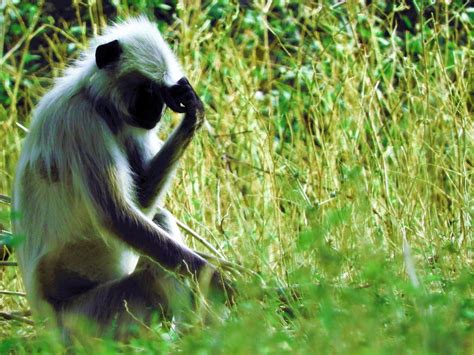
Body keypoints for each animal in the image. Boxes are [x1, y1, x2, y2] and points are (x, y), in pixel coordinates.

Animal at [12, 16, 231, 338]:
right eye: (148, 92)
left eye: (164, 95)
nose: (157, 112)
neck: (96, 102)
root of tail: (46, 326)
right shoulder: (82, 121)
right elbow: (117, 218)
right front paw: (223, 282)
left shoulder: (128, 126)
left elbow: (138, 202)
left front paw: (194, 114)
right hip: (86, 319)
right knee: (153, 277)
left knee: (160, 221)